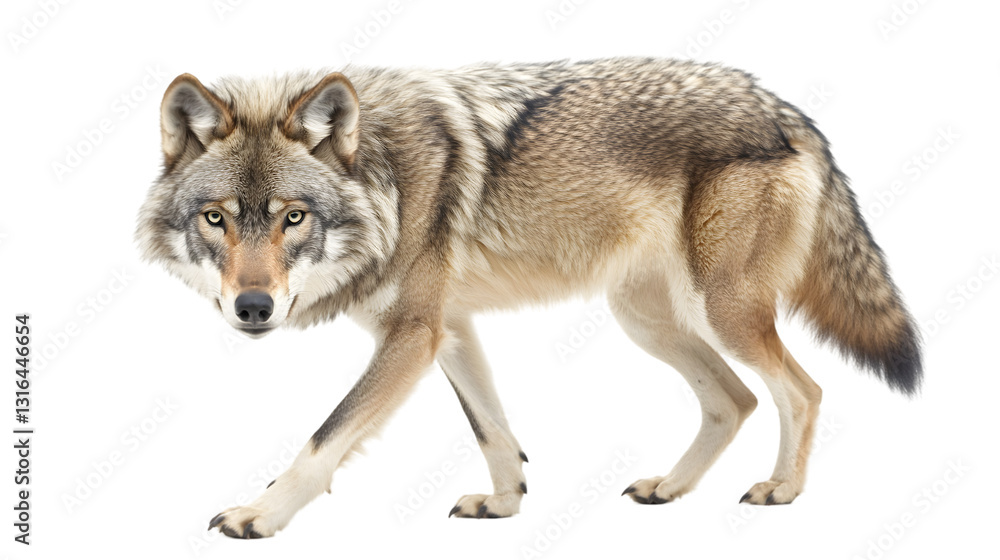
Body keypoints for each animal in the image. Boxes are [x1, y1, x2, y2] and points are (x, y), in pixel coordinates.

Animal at [136, 57, 922, 538]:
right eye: (217, 219)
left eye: (293, 217)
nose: (253, 307)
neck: (388, 179)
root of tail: (787, 109)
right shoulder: (449, 329)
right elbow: (493, 431)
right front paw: (506, 502)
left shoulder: (412, 334)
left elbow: (322, 440)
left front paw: (258, 515)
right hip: (647, 322)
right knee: (737, 399)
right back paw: (669, 488)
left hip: (721, 311)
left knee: (802, 390)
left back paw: (781, 490)